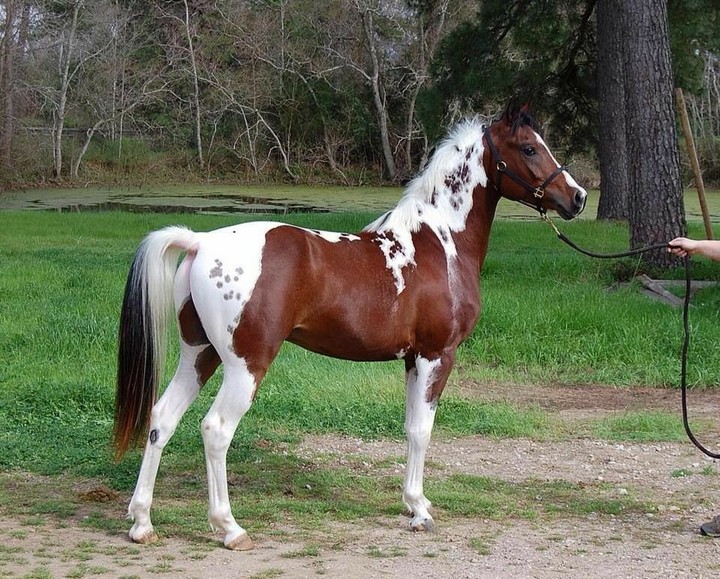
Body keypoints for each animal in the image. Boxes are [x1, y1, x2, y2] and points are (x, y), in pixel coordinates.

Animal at [114, 104, 587, 550]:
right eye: (529, 148)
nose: (578, 197)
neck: (439, 244)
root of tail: (201, 241)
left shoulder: (413, 360)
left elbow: (409, 427)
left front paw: (412, 503)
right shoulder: (437, 356)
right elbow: (422, 431)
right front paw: (420, 511)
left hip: (198, 355)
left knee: (162, 419)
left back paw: (142, 522)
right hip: (244, 365)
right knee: (215, 430)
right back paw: (230, 528)